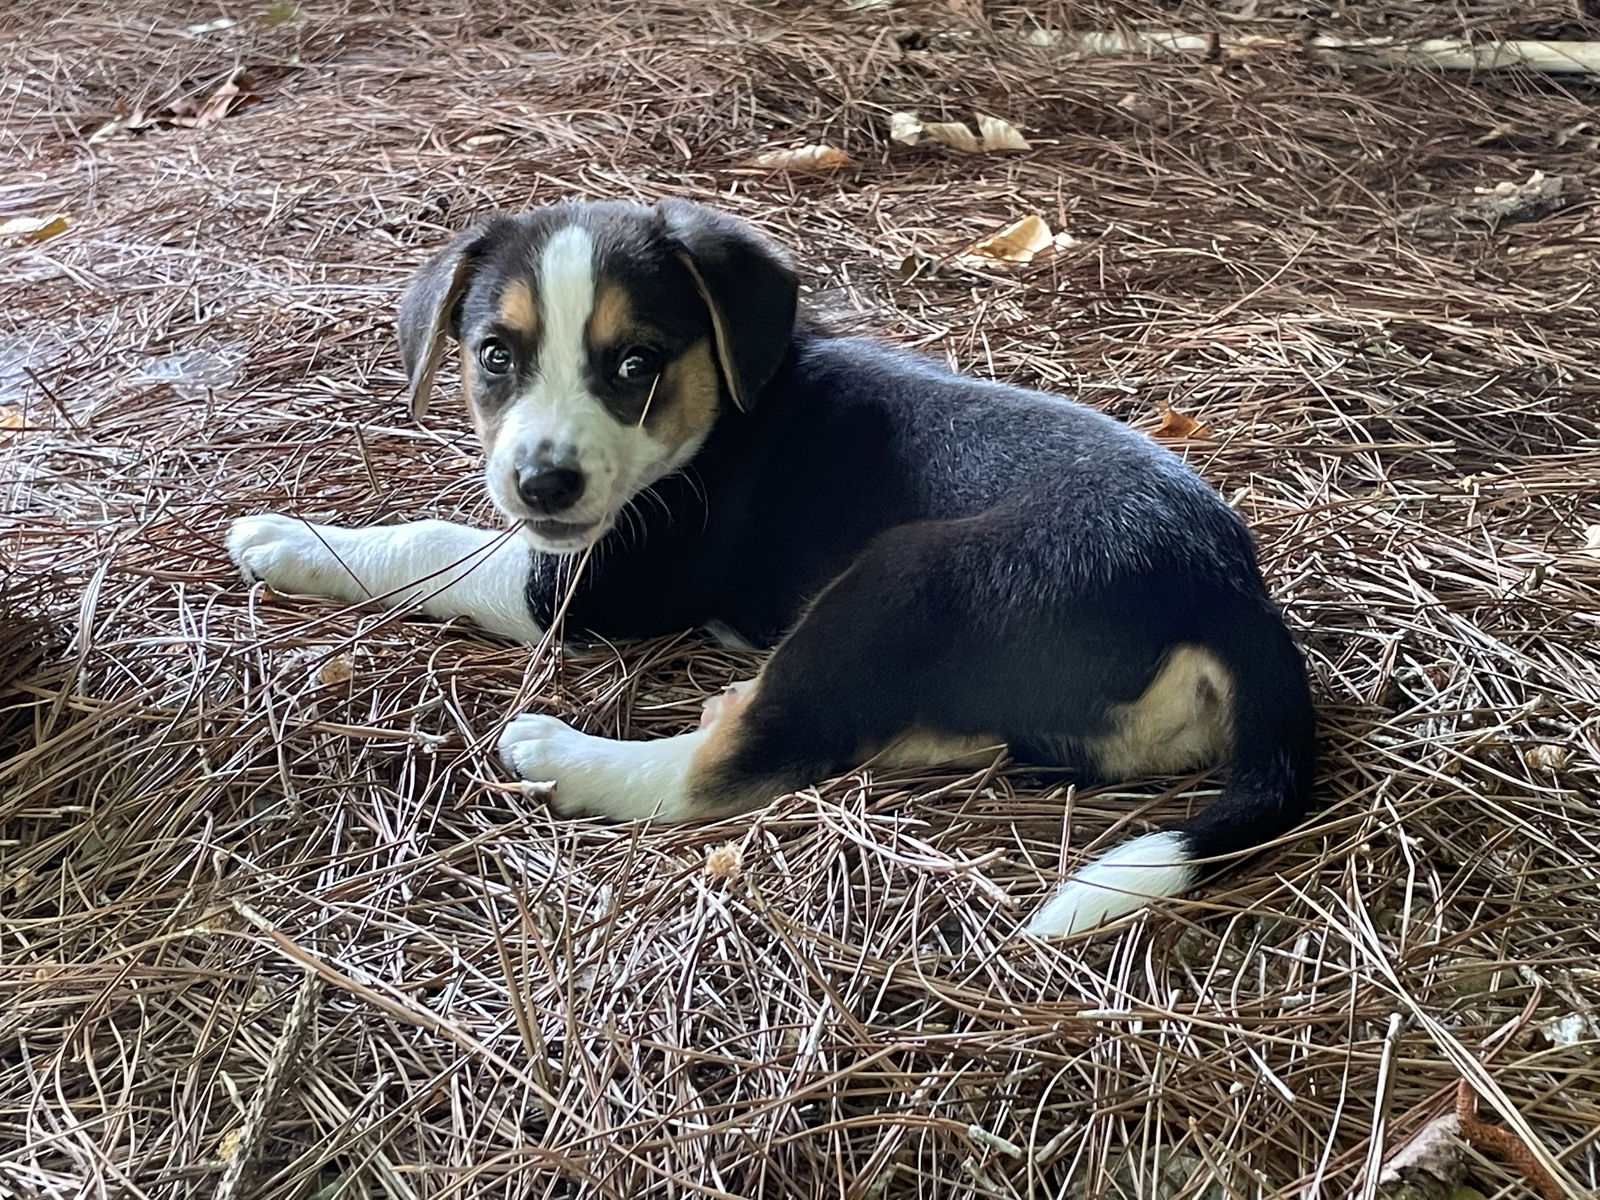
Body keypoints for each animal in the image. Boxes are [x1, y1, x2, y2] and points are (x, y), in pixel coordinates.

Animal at [228, 202, 1324, 940]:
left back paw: (562, 753)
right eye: (495, 355)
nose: (543, 482)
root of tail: (1232, 595)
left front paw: (284, 538)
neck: (720, 407)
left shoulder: (583, 584)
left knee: (736, 764)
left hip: (904, 574)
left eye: (638, 365)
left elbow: (431, 542)